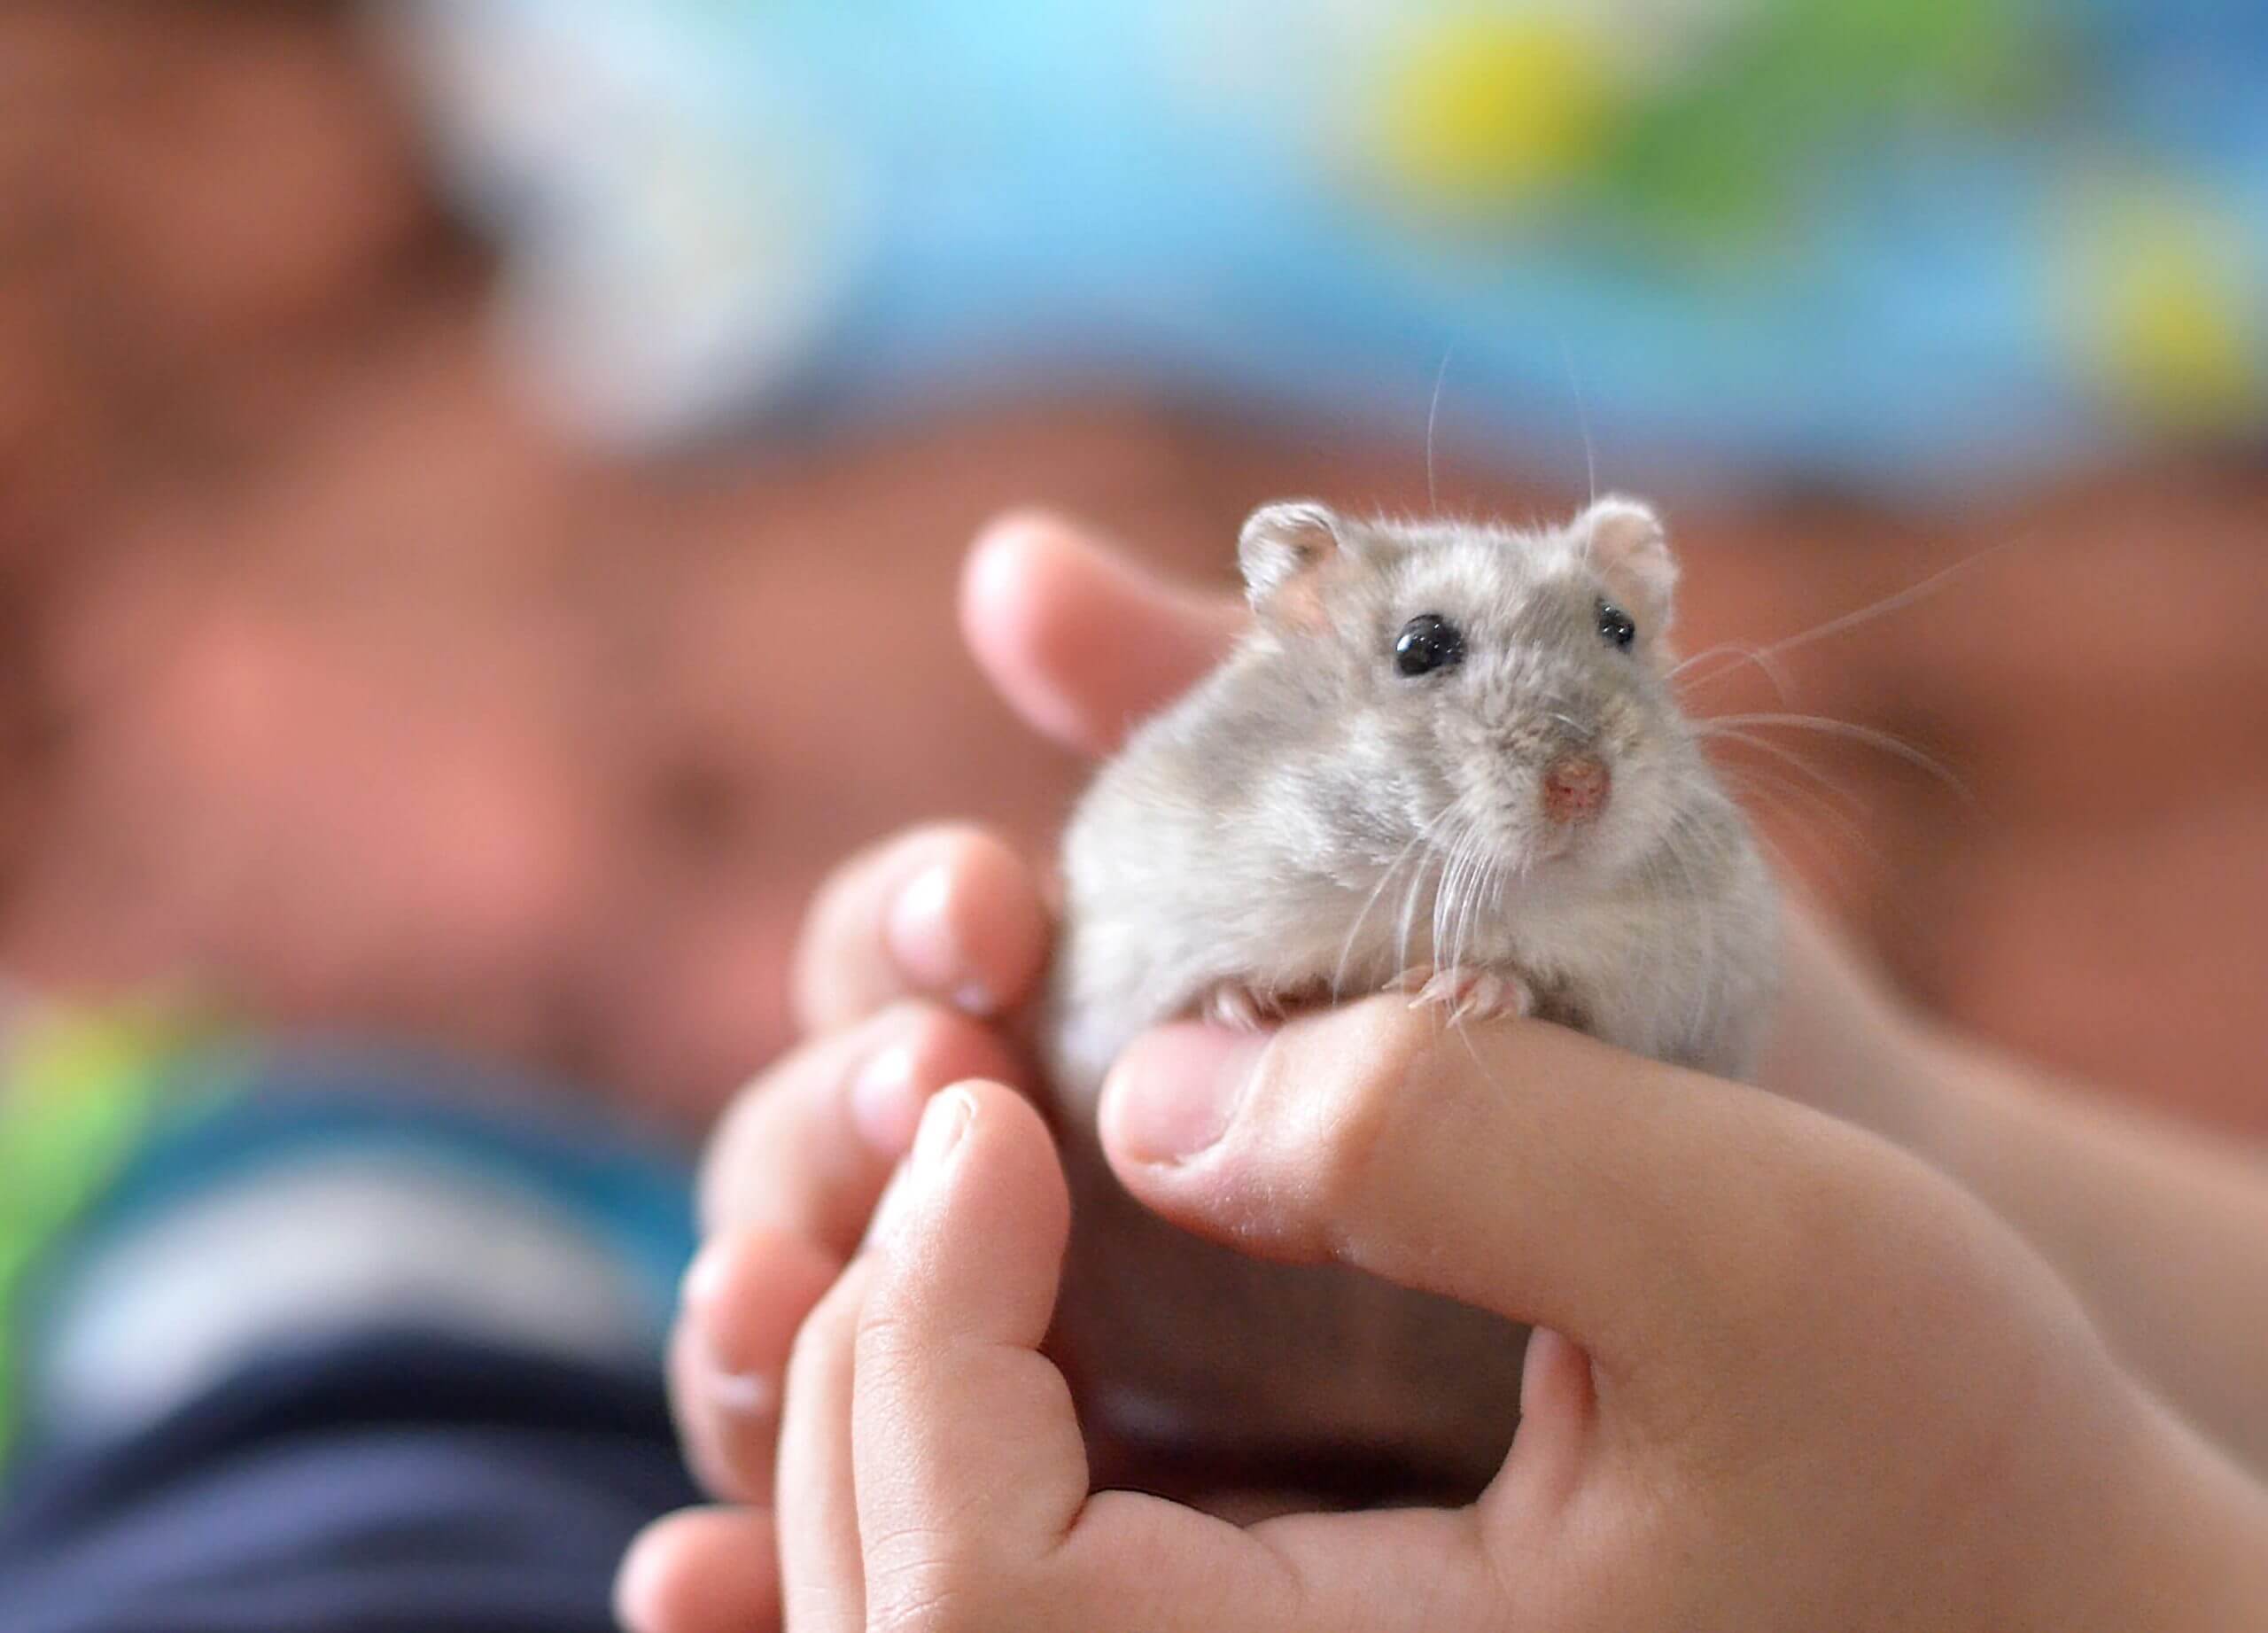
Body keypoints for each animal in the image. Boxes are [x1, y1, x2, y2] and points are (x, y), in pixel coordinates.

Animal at [1038, 492, 1778, 1497]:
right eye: (1422, 646)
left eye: (1618, 628)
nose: (1582, 784)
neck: (1422, 879)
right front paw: (1249, 1005)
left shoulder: (1682, 996)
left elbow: (1560, 993)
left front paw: (1468, 988)